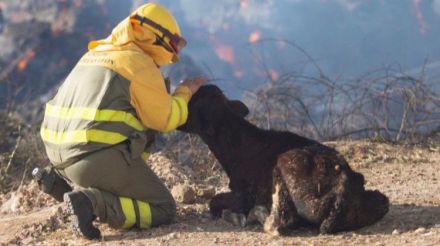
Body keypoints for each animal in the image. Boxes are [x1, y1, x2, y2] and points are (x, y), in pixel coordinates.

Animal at [179, 85, 388, 234]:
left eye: (191, 102)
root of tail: (344, 178)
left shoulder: (245, 195)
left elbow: (214, 201)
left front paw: (237, 215)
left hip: (288, 167)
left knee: (288, 218)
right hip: (375, 196)